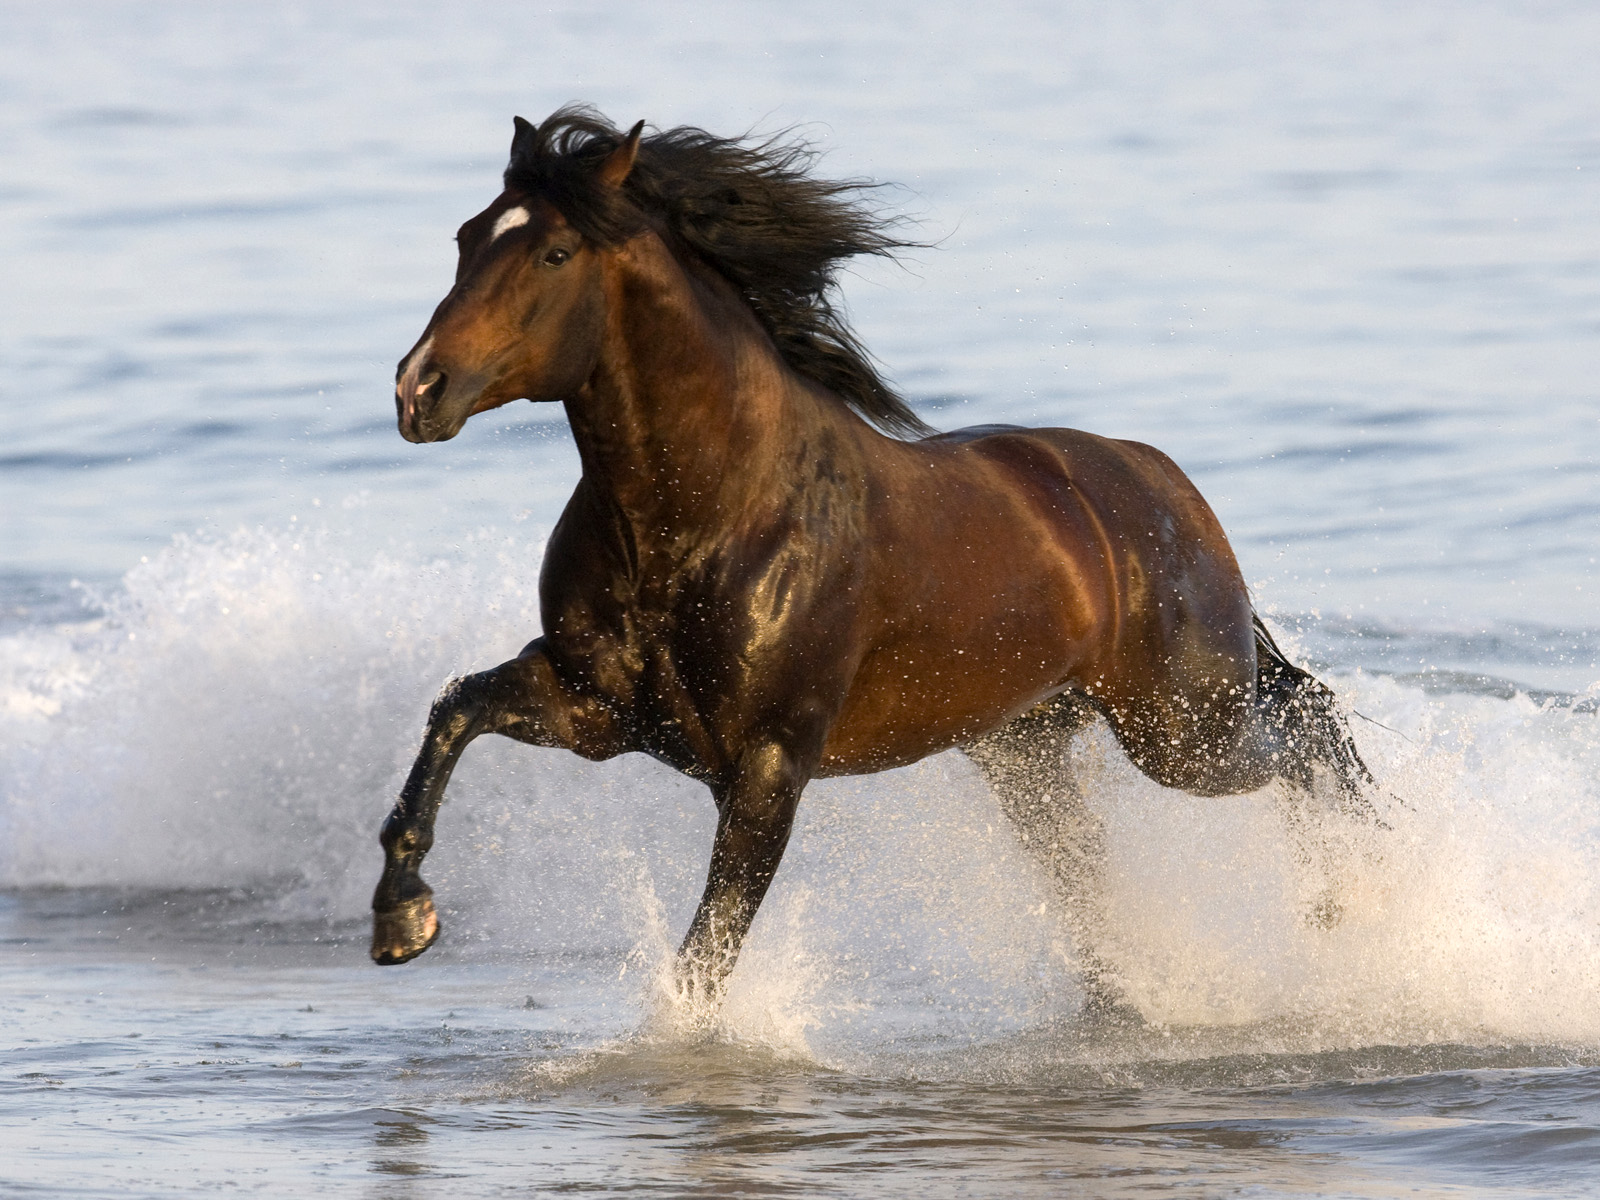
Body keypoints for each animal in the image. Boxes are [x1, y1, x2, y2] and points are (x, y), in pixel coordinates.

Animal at [368, 103, 1369, 1011]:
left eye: (554, 254)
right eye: (465, 237)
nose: (419, 390)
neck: (709, 518)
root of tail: (1163, 482)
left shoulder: (771, 764)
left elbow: (708, 954)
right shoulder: (596, 711)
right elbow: (456, 710)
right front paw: (401, 919)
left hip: (1182, 728)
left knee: (1309, 730)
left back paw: (1345, 906)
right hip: (1029, 749)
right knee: (1098, 866)